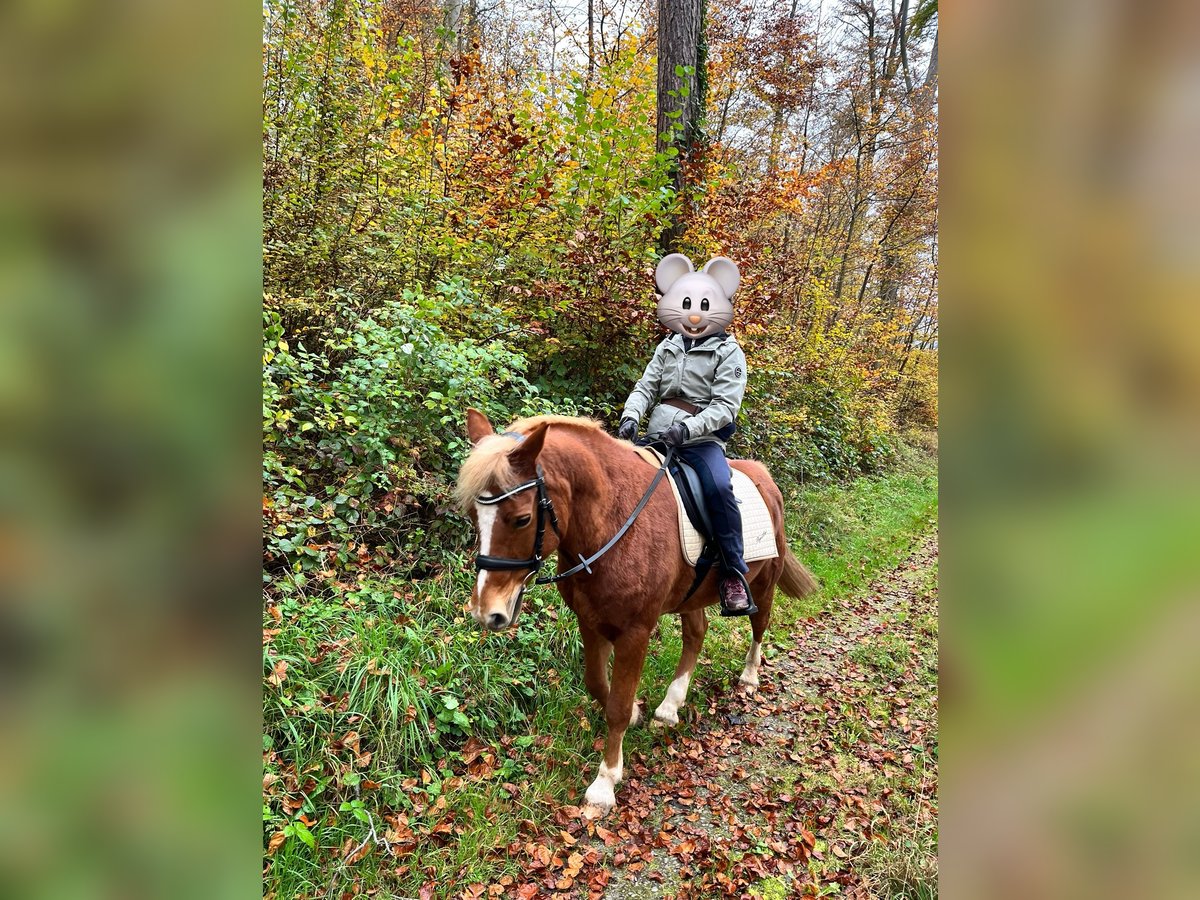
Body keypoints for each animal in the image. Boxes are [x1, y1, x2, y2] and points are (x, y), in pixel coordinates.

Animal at [453, 412, 820, 820]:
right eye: (473, 515)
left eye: (521, 519)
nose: (487, 612)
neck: (612, 522)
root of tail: (764, 478)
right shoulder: (591, 621)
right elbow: (598, 684)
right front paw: (636, 714)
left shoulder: (635, 632)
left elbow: (615, 706)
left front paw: (605, 783)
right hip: (692, 598)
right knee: (697, 634)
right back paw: (670, 707)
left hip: (765, 582)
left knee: (759, 625)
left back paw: (749, 678)